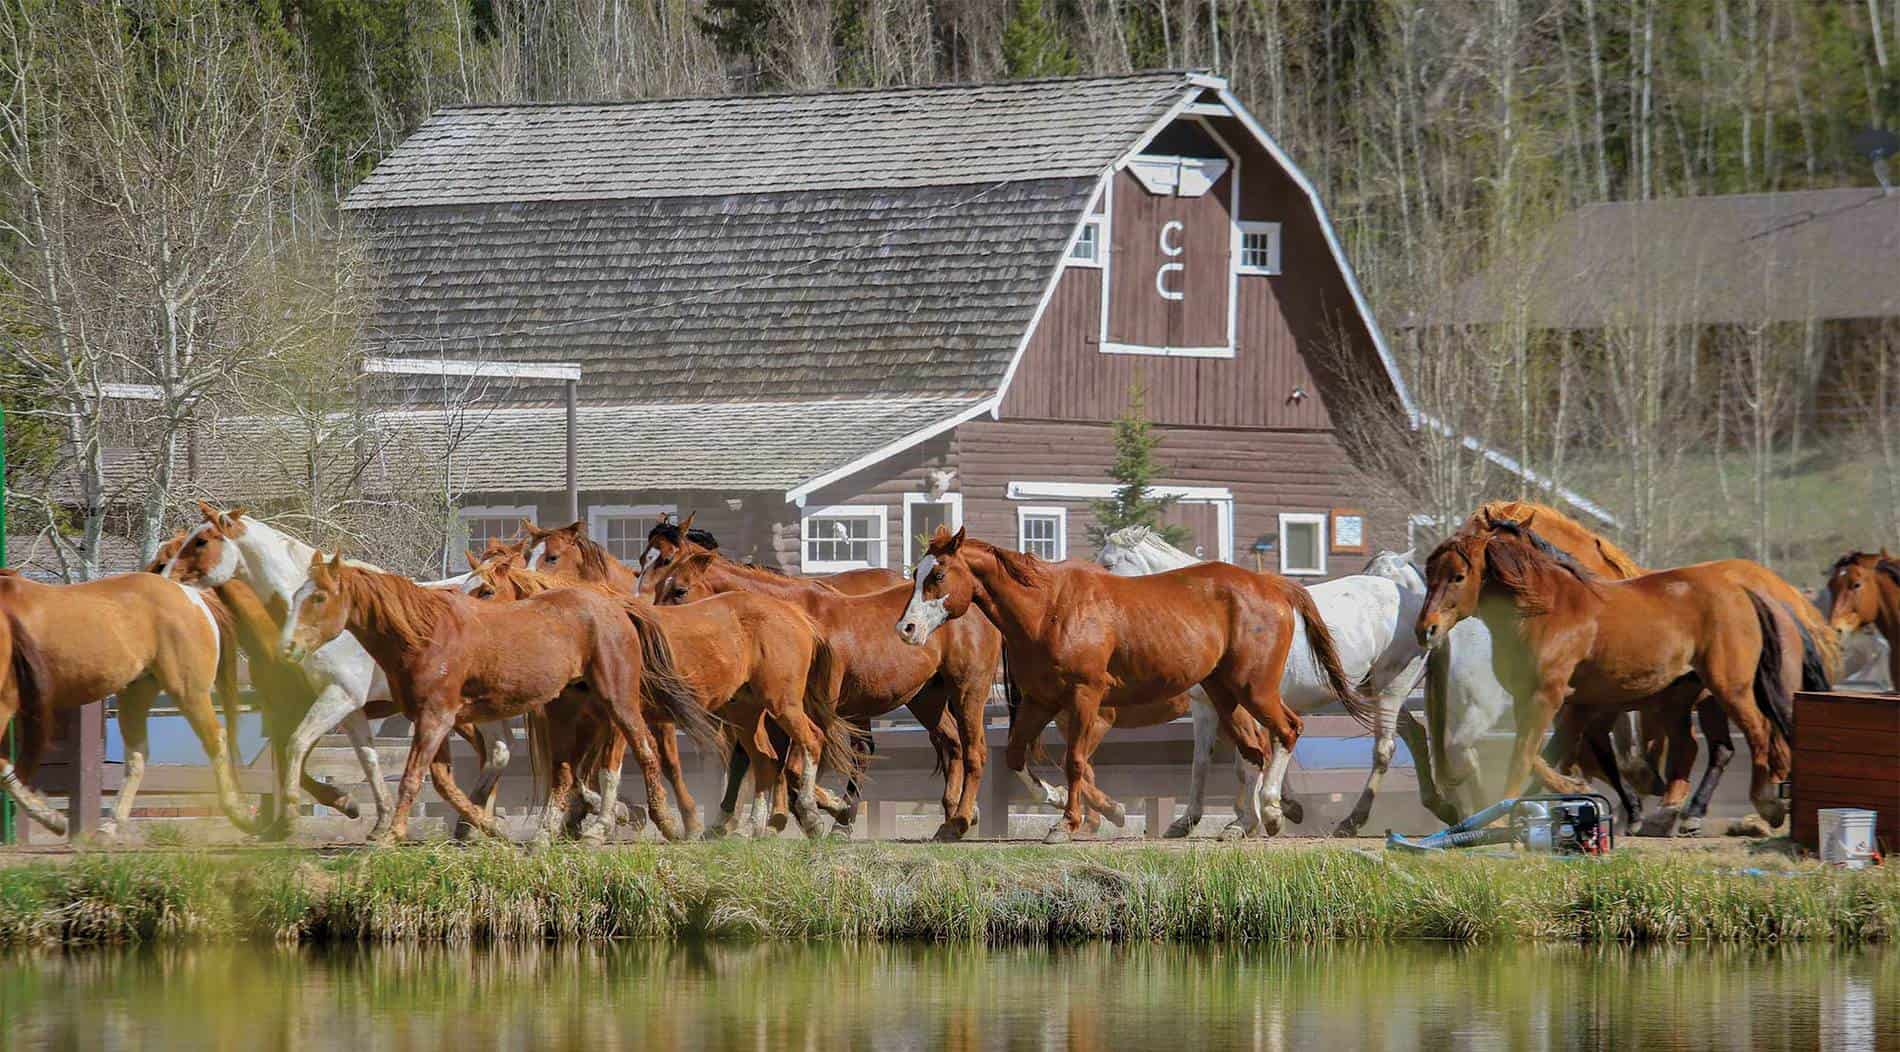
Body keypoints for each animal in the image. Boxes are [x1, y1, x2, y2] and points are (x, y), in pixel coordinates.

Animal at [0, 565, 256, 835]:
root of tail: (193, 597)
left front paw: (53, 819)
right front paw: (52, 818)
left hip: (189, 691)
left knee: (216, 739)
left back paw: (239, 814)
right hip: (136, 694)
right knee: (138, 755)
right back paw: (110, 826)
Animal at [653, 543, 1003, 839]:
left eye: (679, 590)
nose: (657, 625)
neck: (795, 615)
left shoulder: (806, 710)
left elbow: (792, 765)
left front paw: (814, 814)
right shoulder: (774, 709)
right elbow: (761, 761)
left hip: (968, 690)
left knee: (971, 748)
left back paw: (955, 819)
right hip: (926, 697)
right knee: (950, 743)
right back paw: (953, 814)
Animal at [896, 527, 1375, 839]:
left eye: (937, 576)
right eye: (917, 573)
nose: (906, 629)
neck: (1049, 608)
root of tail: (1272, 585)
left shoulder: (1085, 698)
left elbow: (1074, 761)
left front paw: (1067, 823)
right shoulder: (1040, 701)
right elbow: (1017, 756)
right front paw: (1061, 802)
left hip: (1253, 688)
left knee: (1287, 731)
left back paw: (1273, 812)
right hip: (1224, 695)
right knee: (1255, 749)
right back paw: (1252, 820)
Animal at [1421, 516, 1801, 827]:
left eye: (1458, 576)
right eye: (1428, 574)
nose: (1426, 629)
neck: (1547, 612)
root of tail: (1740, 591)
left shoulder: (1549, 698)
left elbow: (1527, 756)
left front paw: (1501, 819)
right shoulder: (1554, 703)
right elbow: (1545, 755)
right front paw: (1570, 789)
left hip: (1729, 687)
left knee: (1759, 731)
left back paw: (1766, 802)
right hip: (1680, 697)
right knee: (1693, 746)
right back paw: (1673, 812)